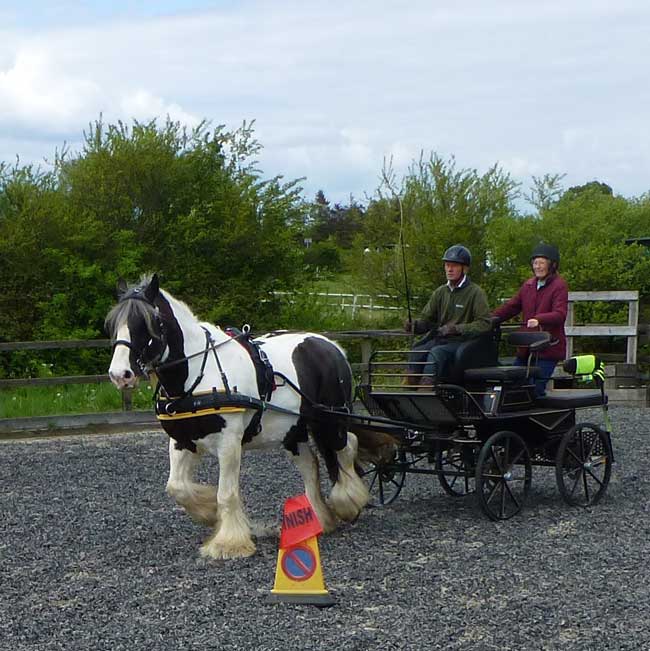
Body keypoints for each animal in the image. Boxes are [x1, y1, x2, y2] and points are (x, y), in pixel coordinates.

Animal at [104, 276, 382, 560]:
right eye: (113, 325)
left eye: (147, 323)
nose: (119, 375)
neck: (198, 375)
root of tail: (331, 346)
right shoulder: (182, 441)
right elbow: (177, 487)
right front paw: (209, 512)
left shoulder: (229, 442)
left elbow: (226, 493)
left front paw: (228, 543)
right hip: (294, 431)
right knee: (310, 465)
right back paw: (319, 520)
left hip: (330, 420)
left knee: (346, 447)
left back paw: (348, 502)